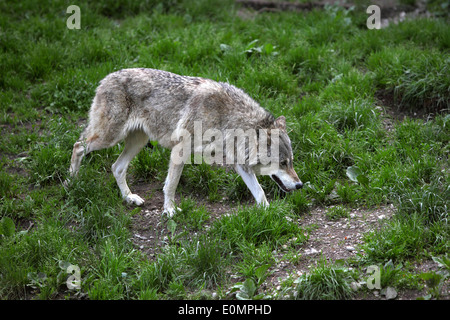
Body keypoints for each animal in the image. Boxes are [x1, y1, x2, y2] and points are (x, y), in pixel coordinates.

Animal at [67, 68, 302, 216]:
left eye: (291, 162)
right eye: (283, 163)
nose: (300, 185)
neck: (228, 118)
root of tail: (105, 78)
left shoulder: (239, 162)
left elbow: (259, 192)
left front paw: (271, 215)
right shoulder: (180, 150)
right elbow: (170, 185)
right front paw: (170, 210)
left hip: (138, 141)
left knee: (116, 167)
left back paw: (129, 198)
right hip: (109, 137)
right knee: (78, 146)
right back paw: (71, 184)